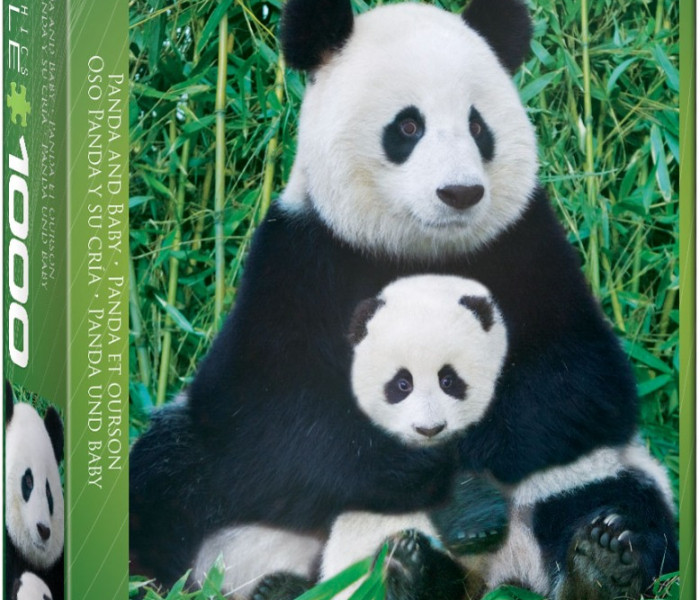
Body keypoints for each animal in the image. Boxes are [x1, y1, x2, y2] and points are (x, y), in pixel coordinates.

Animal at [129, 0, 678, 598]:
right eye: (408, 126)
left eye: (478, 126)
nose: (460, 193)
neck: (418, 249)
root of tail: (493, 578)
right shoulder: (298, 259)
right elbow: (268, 415)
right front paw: (433, 477)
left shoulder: (527, 247)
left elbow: (580, 382)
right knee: (167, 479)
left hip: (595, 474)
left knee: (620, 498)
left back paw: (597, 562)